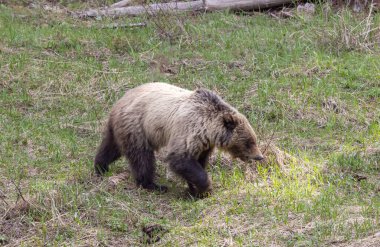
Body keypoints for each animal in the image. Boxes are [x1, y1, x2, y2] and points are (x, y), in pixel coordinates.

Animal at [93, 83, 262, 197]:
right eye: (249, 142)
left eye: (254, 139)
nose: (259, 156)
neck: (209, 129)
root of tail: (118, 102)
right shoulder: (189, 130)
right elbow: (180, 159)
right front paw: (205, 188)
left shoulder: (203, 144)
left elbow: (197, 163)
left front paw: (194, 189)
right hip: (137, 127)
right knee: (142, 158)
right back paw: (152, 184)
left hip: (123, 128)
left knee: (110, 147)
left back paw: (101, 166)